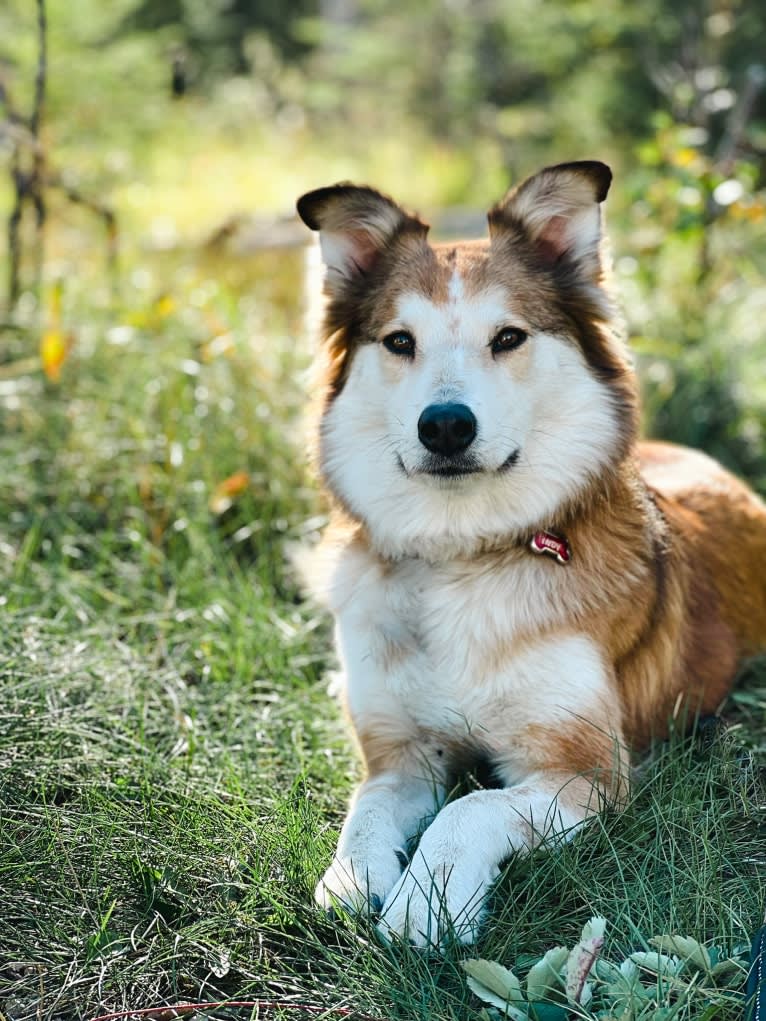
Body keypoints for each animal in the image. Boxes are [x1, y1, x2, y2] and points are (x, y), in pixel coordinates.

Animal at [294, 159, 766, 947]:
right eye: (399, 342)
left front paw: (426, 903)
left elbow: (469, 808)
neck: (462, 552)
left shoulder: (588, 773)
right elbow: (366, 812)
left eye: (509, 336)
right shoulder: (401, 755)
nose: (444, 426)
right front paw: (352, 881)